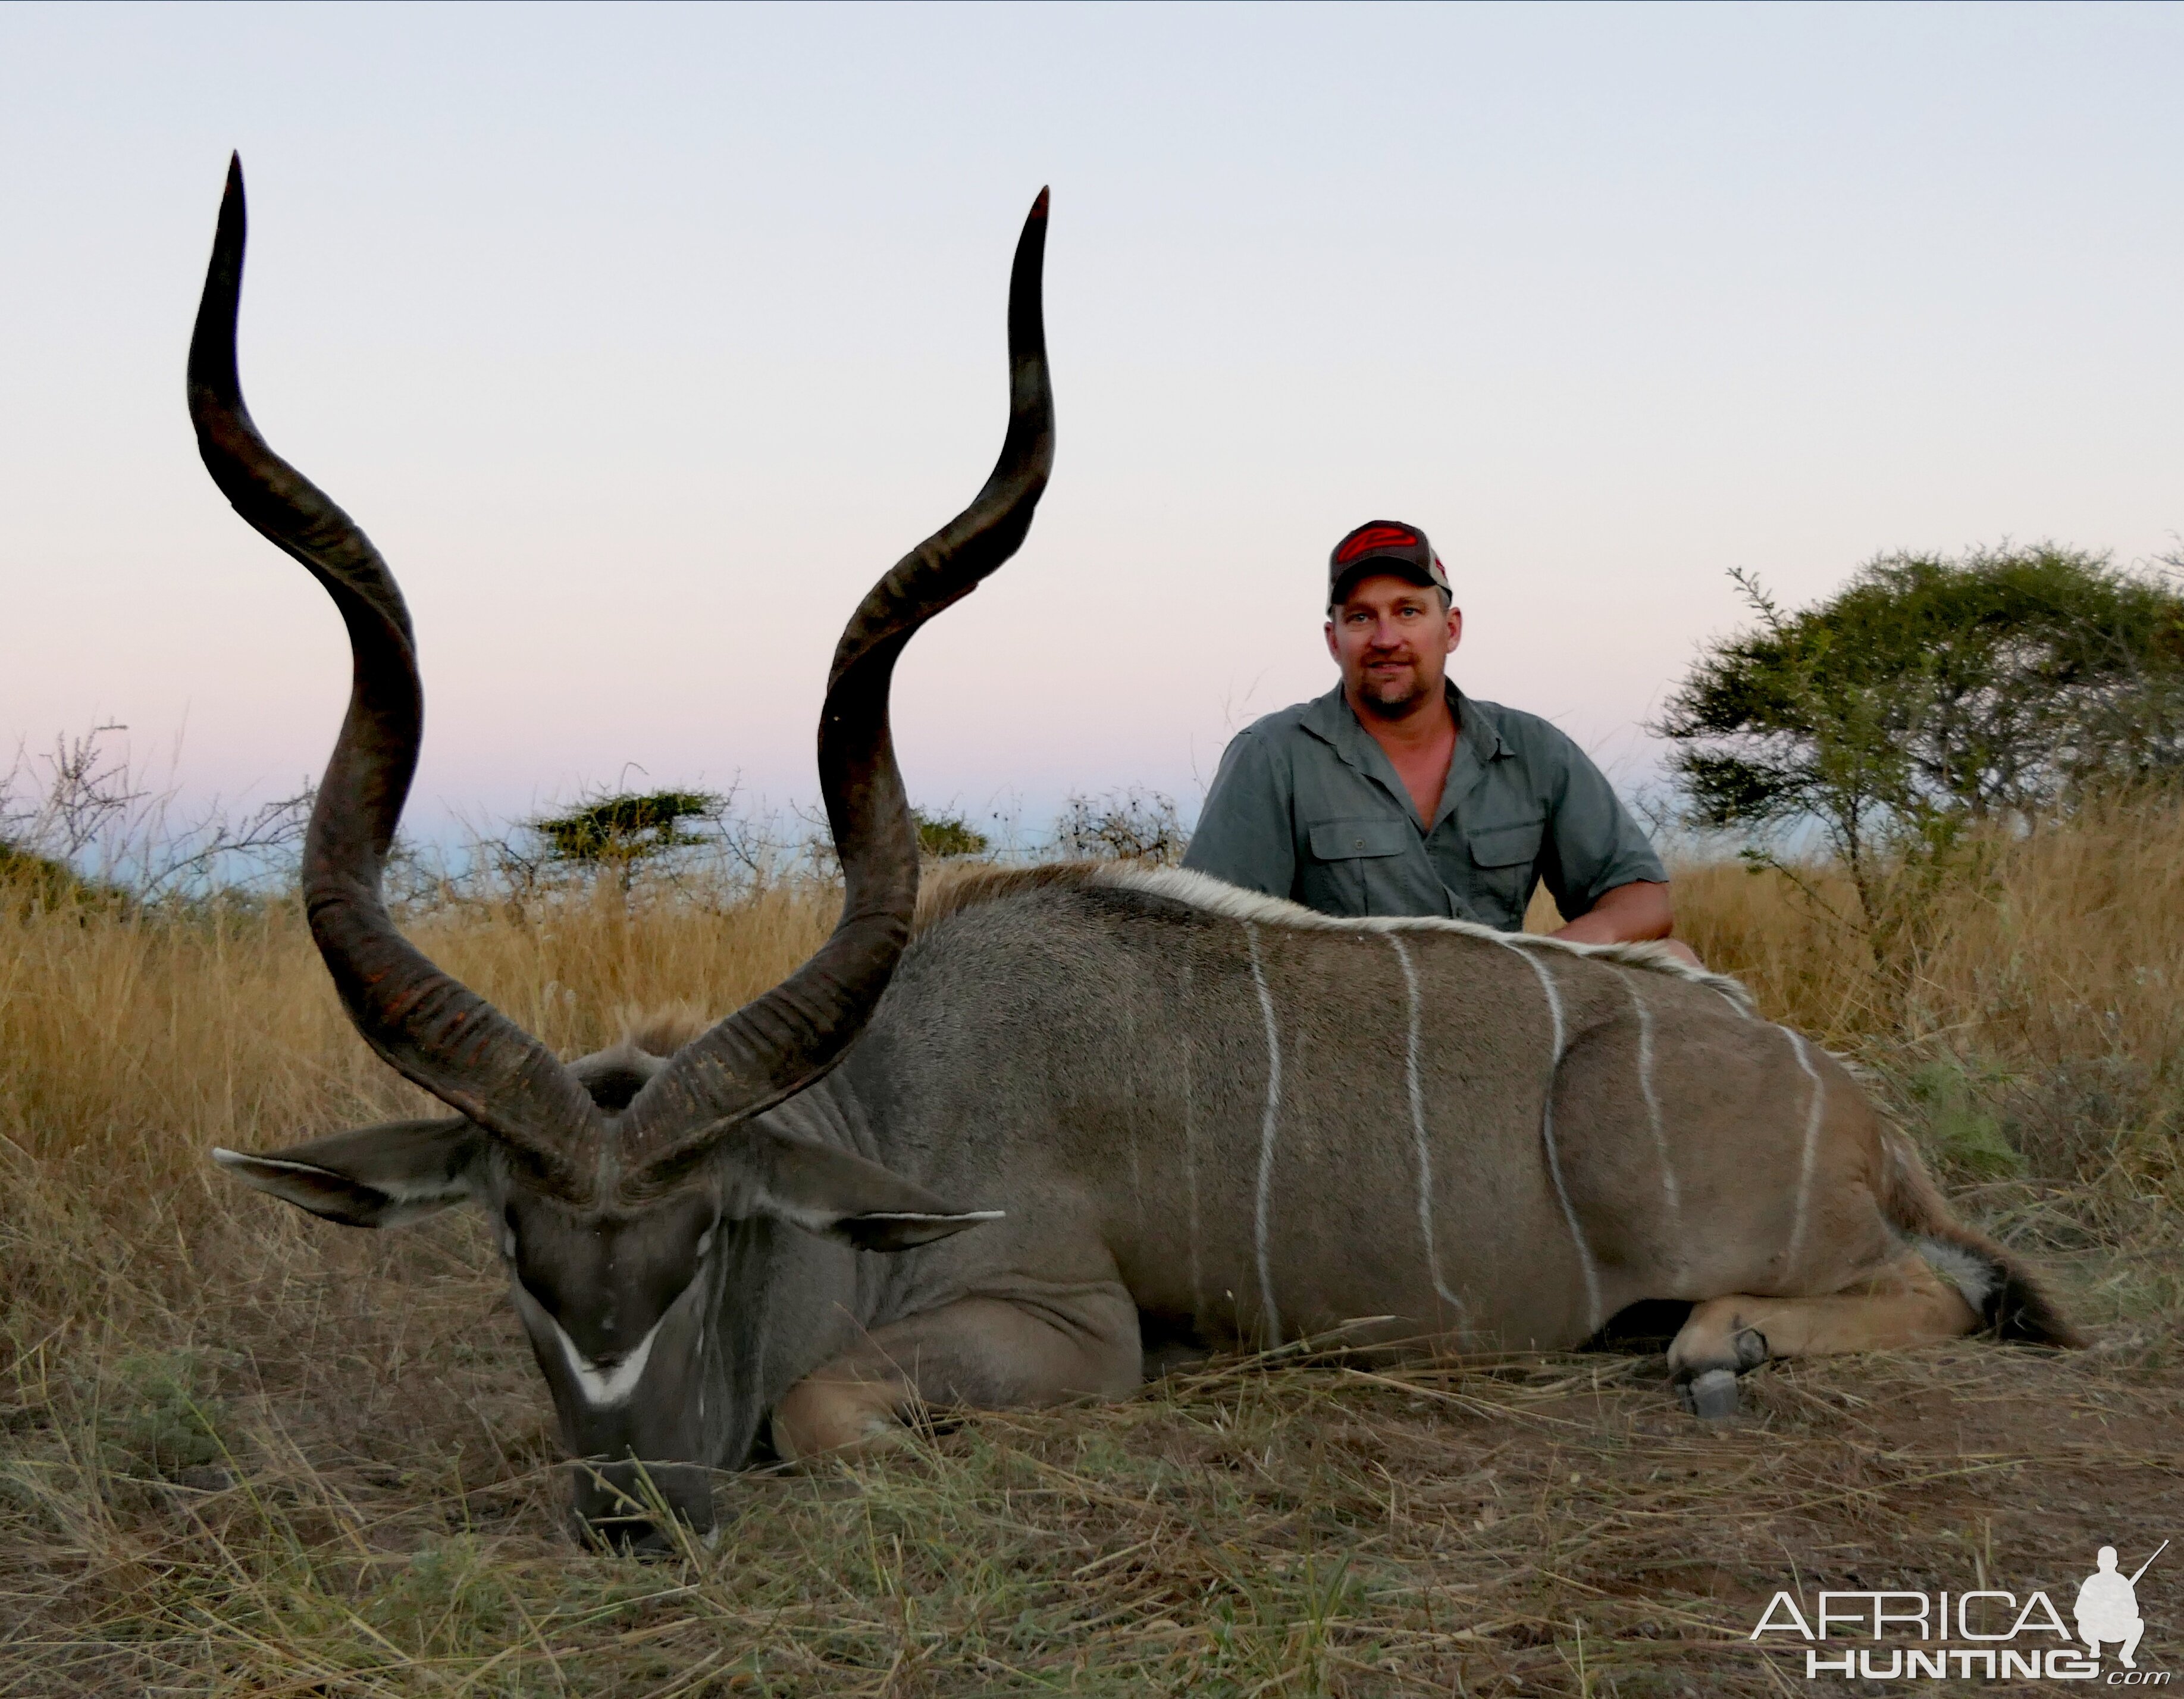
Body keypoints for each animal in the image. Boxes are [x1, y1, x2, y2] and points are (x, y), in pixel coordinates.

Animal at [205, 162, 2079, 1546]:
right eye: (516, 1246)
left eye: (707, 1237)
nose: (631, 1513)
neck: (885, 1111)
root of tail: (1854, 1104)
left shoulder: (1061, 1322)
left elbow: (826, 1406)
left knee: (1915, 1293)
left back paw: (1713, 1341)